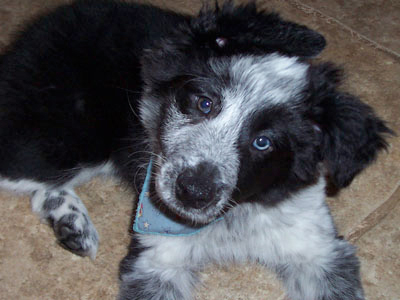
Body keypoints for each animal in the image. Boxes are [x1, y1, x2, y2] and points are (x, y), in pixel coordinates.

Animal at [0, 0, 392, 300]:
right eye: (204, 103)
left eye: (263, 142)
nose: (193, 192)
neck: (234, 214)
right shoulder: (157, 257)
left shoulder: (319, 249)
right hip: (68, 139)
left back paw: (71, 224)